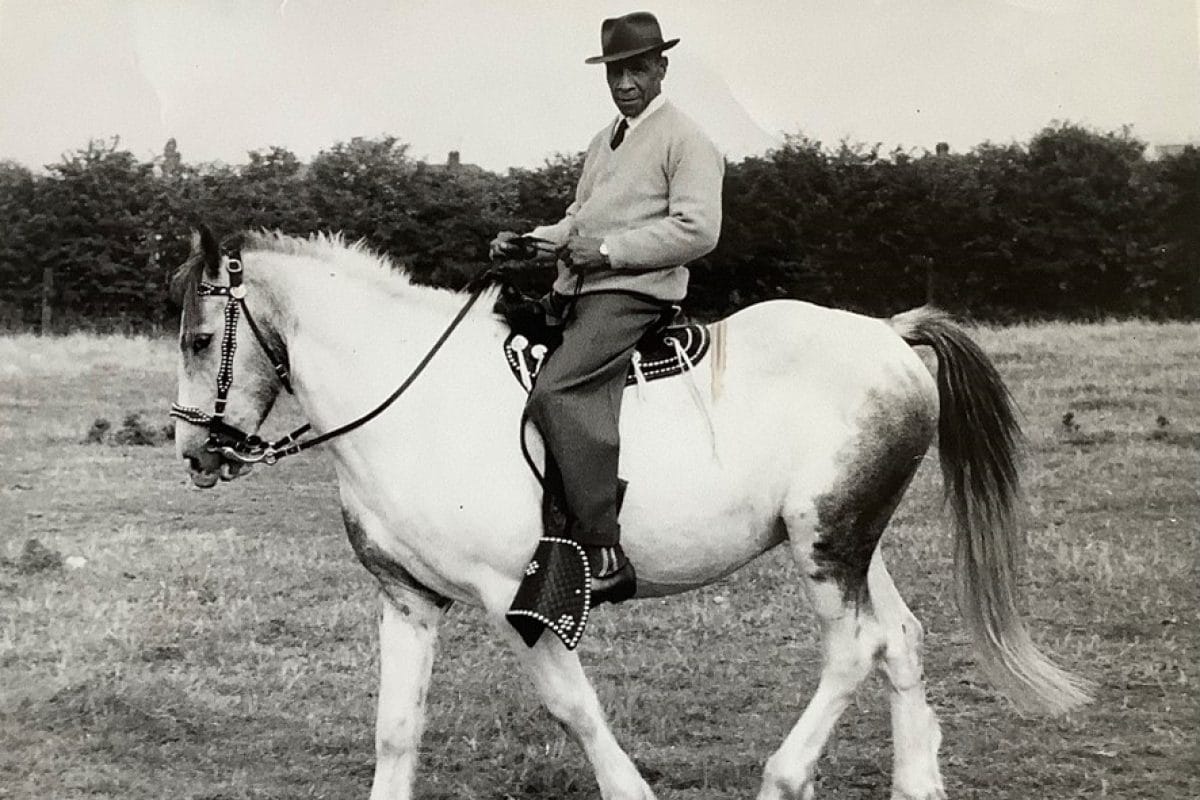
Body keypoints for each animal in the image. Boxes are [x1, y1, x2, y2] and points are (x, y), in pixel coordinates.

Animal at [174, 227, 1094, 796]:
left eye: (196, 339)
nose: (194, 453)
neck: (414, 401)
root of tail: (889, 333)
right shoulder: (408, 602)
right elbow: (396, 729)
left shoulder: (521, 597)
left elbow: (573, 708)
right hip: (846, 539)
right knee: (899, 637)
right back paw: (916, 780)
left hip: (828, 549)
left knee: (856, 648)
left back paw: (784, 777)